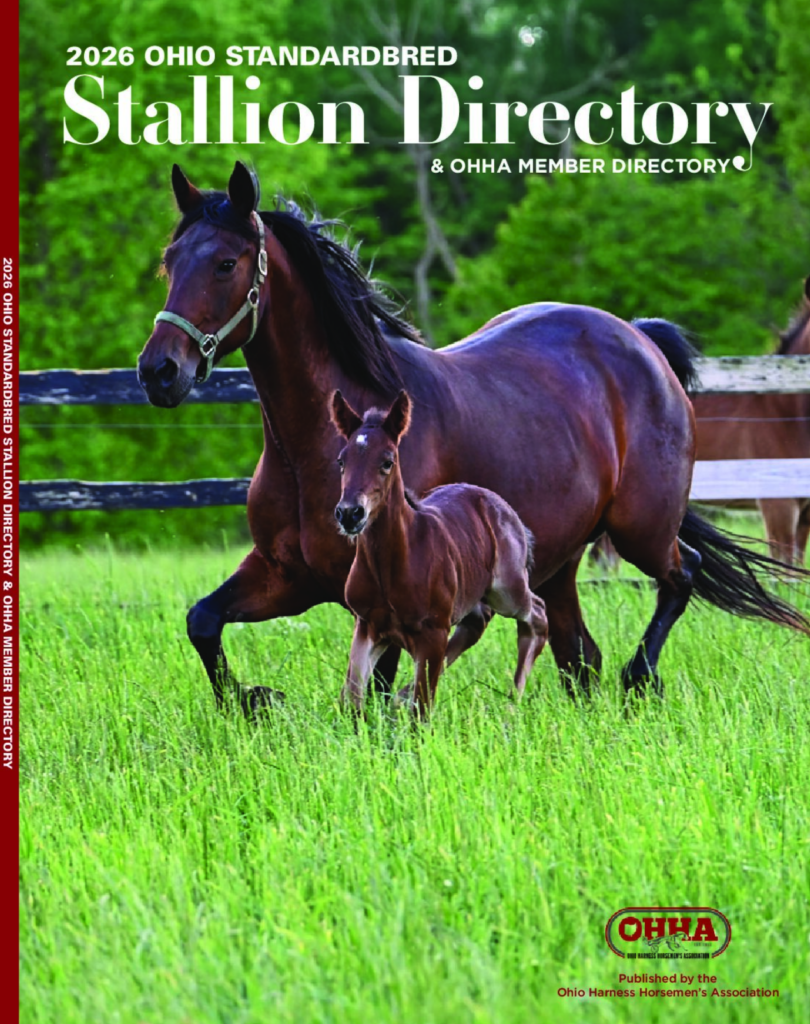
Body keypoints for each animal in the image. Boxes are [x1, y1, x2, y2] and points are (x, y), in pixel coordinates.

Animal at [331, 389, 548, 718]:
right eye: (342, 461)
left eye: (387, 461)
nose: (349, 514)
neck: (393, 564)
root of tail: (505, 509)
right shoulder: (367, 626)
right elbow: (352, 699)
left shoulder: (432, 633)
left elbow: (421, 710)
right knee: (476, 622)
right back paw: (401, 695)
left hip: (506, 588)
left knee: (536, 613)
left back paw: (514, 698)